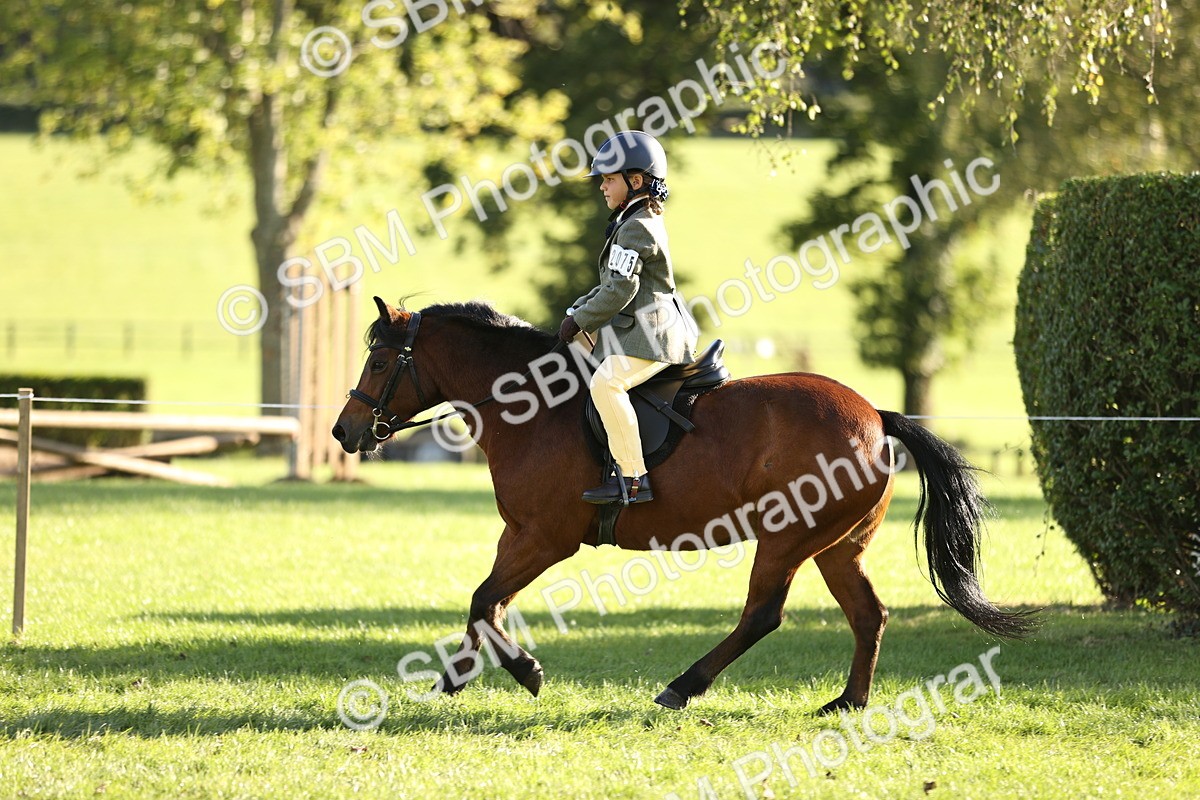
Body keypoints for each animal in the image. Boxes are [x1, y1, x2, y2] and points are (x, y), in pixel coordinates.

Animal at [332, 297, 1034, 713]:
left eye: (378, 360)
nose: (343, 432)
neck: (533, 406)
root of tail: (876, 414)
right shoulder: (519, 535)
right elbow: (487, 604)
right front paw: (456, 678)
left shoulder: (545, 538)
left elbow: (484, 600)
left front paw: (525, 671)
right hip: (837, 547)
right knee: (869, 614)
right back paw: (848, 703)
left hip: (786, 539)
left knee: (763, 616)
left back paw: (682, 686)